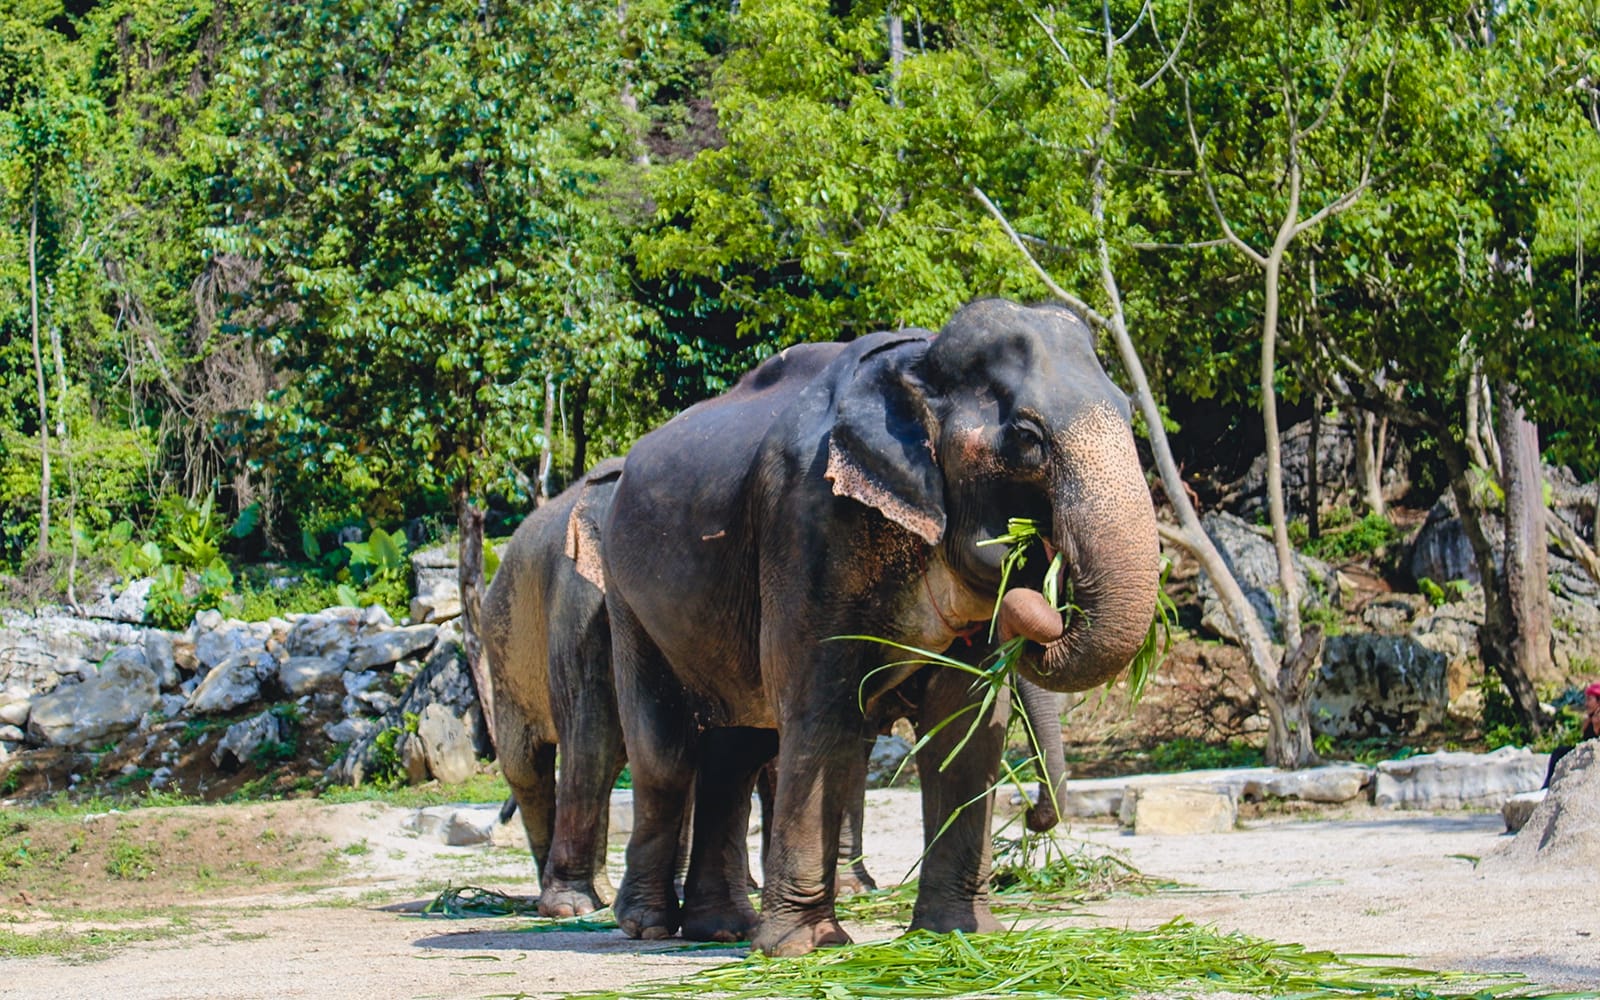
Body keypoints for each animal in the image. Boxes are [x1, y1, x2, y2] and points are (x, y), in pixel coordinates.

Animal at [600, 298, 1160, 956]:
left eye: (1130, 412)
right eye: (1027, 438)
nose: (1033, 819)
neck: (918, 365)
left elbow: (966, 722)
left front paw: (958, 935)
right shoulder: (808, 518)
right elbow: (820, 707)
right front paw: (807, 948)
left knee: (736, 750)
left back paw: (721, 928)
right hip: (625, 595)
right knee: (666, 753)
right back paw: (648, 925)